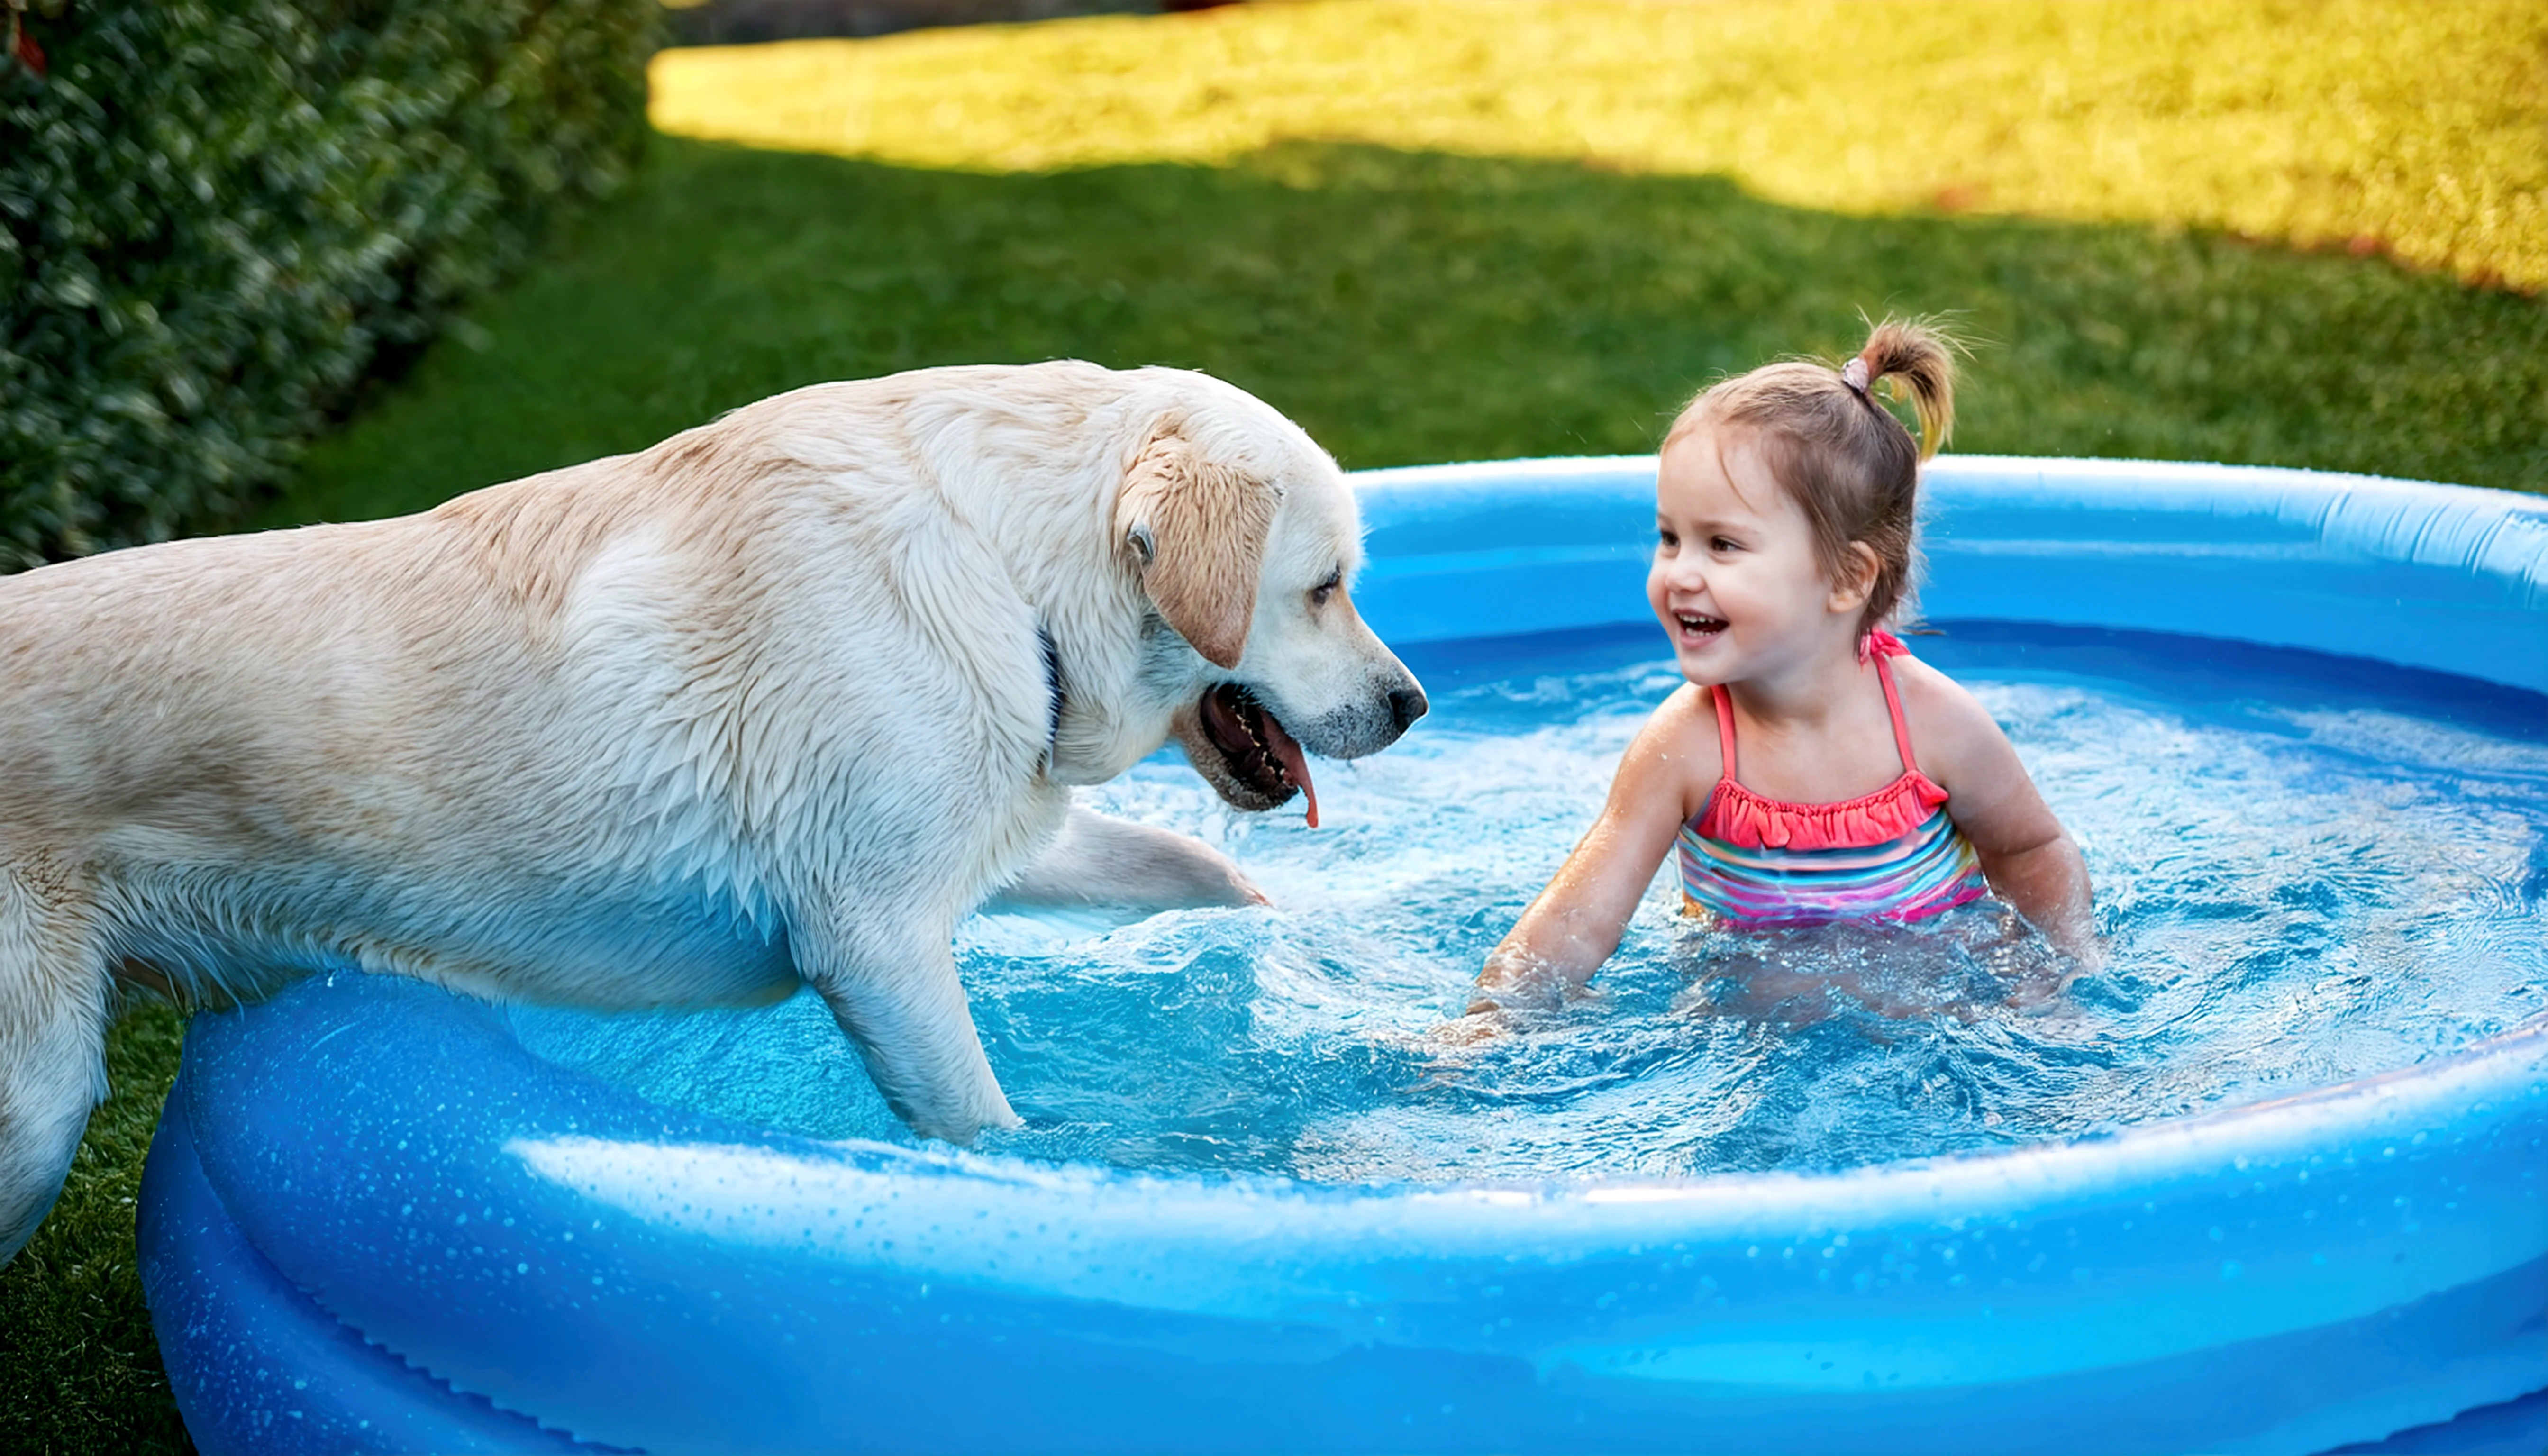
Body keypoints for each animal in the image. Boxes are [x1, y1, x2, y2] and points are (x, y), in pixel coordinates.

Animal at [0, 364, 1437, 1265]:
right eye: (1326, 586)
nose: (1414, 703)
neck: (1003, 565)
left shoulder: (981, 845)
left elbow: (1196, 863)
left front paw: (1286, 951)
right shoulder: (875, 941)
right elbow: (985, 1129)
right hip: (37, 1102)